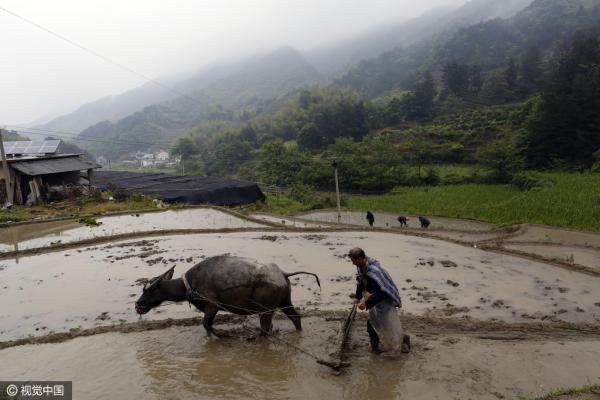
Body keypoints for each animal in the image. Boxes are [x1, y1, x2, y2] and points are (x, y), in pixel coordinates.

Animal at [136, 255, 322, 336]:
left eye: (148, 290)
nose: (138, 305)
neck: (188, 285)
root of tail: (283, 273)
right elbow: (207, 326)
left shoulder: (212, 306)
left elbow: (206, 324)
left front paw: (222, 335)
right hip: (285, 302)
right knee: (295, 318)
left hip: (266, 310)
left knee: (266, 327)